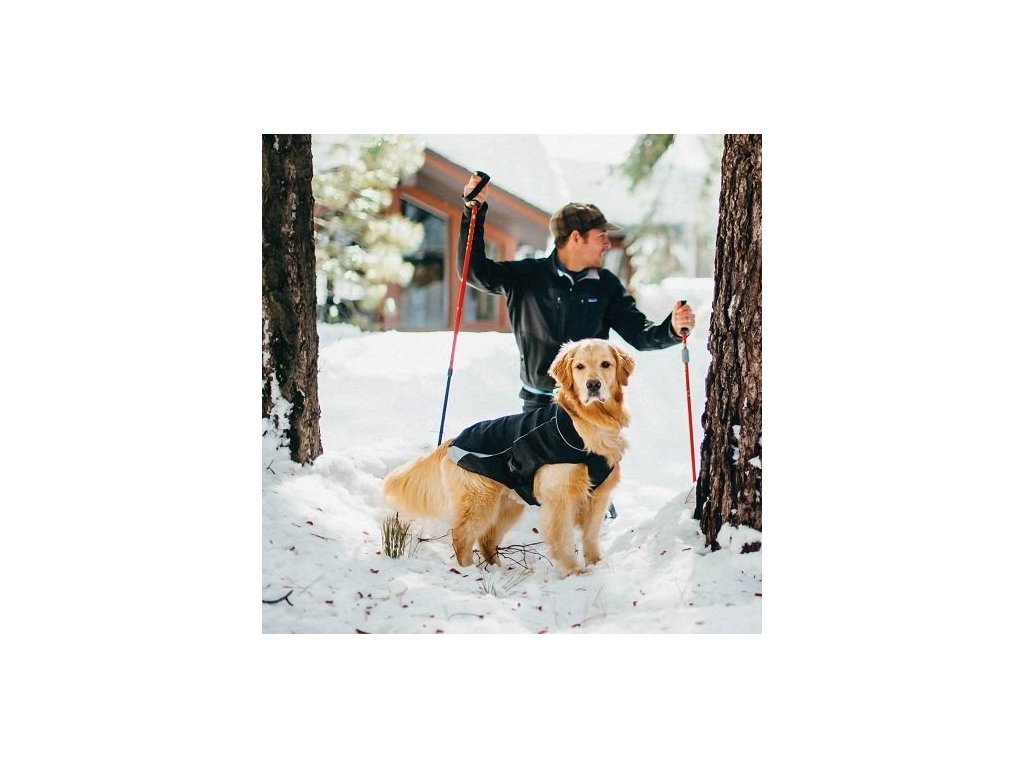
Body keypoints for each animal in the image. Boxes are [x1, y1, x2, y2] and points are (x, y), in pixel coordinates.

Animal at [382, 338, 634, 577]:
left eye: (606, 364)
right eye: (579, 366)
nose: (593, 385)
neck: (587, 422)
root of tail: (453, 440)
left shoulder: (599, 496)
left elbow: (591, 535)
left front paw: (596, 563)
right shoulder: (560, 497)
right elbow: (563, 536)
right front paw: (573, 570)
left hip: (507, 505)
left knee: (486, 539)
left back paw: (496, 567)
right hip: (479, 501)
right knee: (462, 535)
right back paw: (469, 570)